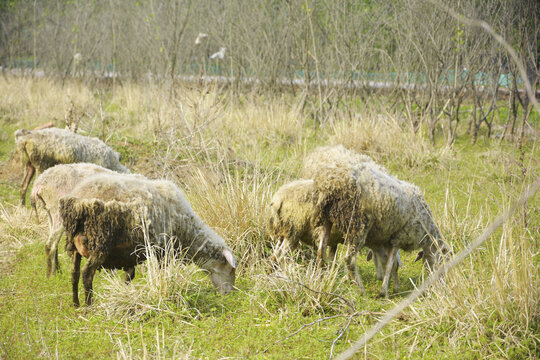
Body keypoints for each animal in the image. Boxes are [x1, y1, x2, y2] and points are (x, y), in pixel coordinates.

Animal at [58, 173, 236, 306]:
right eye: (229, 268)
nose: (229, 293)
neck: (187, 231)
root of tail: (77, 202)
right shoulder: (163, 251)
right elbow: (162, 273)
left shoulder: (130, 253)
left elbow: (129, 276)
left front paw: (127, 294)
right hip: (99, 243)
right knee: (87, 274)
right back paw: (89, 306)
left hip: (75, 246)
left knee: (74, 273)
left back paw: (75, 304)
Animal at [268, 178, 400, 292]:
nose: (383, 280)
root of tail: (278, 199)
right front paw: (346, 279)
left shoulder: (334, 241)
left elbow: (332, 259)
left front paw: (331, 277)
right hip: (294, 229)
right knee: (280, 255)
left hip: (283, 232)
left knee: (275, 255)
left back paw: (271, 273)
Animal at [310, 162, 450, 296]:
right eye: (445, 259)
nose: (443, 282)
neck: (427, 233)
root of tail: (331, 184)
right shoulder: (398, 238)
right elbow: (391, 265)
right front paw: (385, 291)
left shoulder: (386, 240)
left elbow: (392, 264)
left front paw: (394, 288)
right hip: (357, 224)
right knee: (349, 260)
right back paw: (361, 290)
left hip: (325, 219)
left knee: (321, 251)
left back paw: (320, 279)